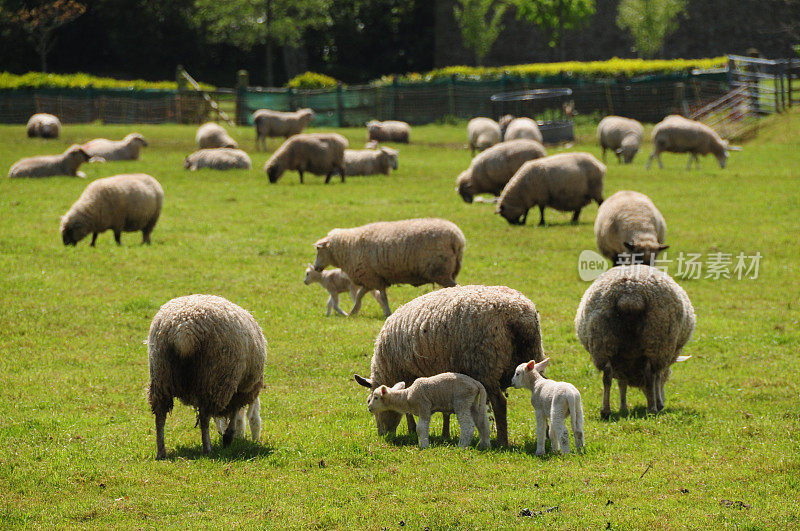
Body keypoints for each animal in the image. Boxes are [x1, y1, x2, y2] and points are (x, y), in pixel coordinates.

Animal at [146, 294, 266, 460]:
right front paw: (228, 437)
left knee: (160, 414)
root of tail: (184, 329)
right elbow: (236, 413)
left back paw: (161, 451)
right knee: (204, 416)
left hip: (161, 372)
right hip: (215, 377)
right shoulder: (240, 388)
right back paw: (207, 448)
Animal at [310, 218, 466, 318]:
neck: (347, 247)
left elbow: (382, 297)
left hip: (440, 271)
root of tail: (457, 238)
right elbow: (360, 295)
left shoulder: (372, 278)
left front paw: (387, 313)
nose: (316, 267)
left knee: (455, 287)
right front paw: (353, 312)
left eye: (318, 250)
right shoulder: (371, 278)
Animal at [354, 284, 548, 446]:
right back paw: (546, 436)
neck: (387, 369)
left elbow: (408, 409)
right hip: (532, 358)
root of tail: (518, 314)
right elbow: (445, 410)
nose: (383, 434)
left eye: (371, 402)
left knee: (500, 403)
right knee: (543, 389)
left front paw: (412, 429)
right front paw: (445, 434)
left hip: (486, 365)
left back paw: (502, 441)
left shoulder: (408, 374)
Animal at [576, 266, 692, 420]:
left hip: (603, 341)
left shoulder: (621, 362)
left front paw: (623, 407)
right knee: (649, 375)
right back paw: (652, 409)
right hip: (657, 341)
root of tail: (630, 296)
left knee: (607, 376)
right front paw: (658, 402)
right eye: (667, 379)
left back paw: (606, 411)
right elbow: (656, 377)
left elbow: (621, 383)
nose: (663, 403)